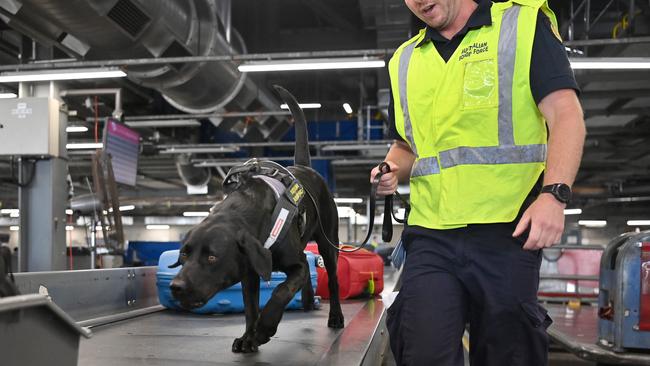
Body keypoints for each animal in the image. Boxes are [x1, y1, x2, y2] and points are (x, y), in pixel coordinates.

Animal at [170, 85, 346, 352]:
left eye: (212, 257)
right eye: (184, 255)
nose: (176, 287)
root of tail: (305, 168)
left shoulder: (294, 266)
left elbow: (280, 292)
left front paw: (264, 328)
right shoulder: (248, 273)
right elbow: (251, 307)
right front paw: (248, 337)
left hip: (328, 242)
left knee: (333, 279)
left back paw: (335, 316)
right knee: (308, 264)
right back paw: (307, 300)